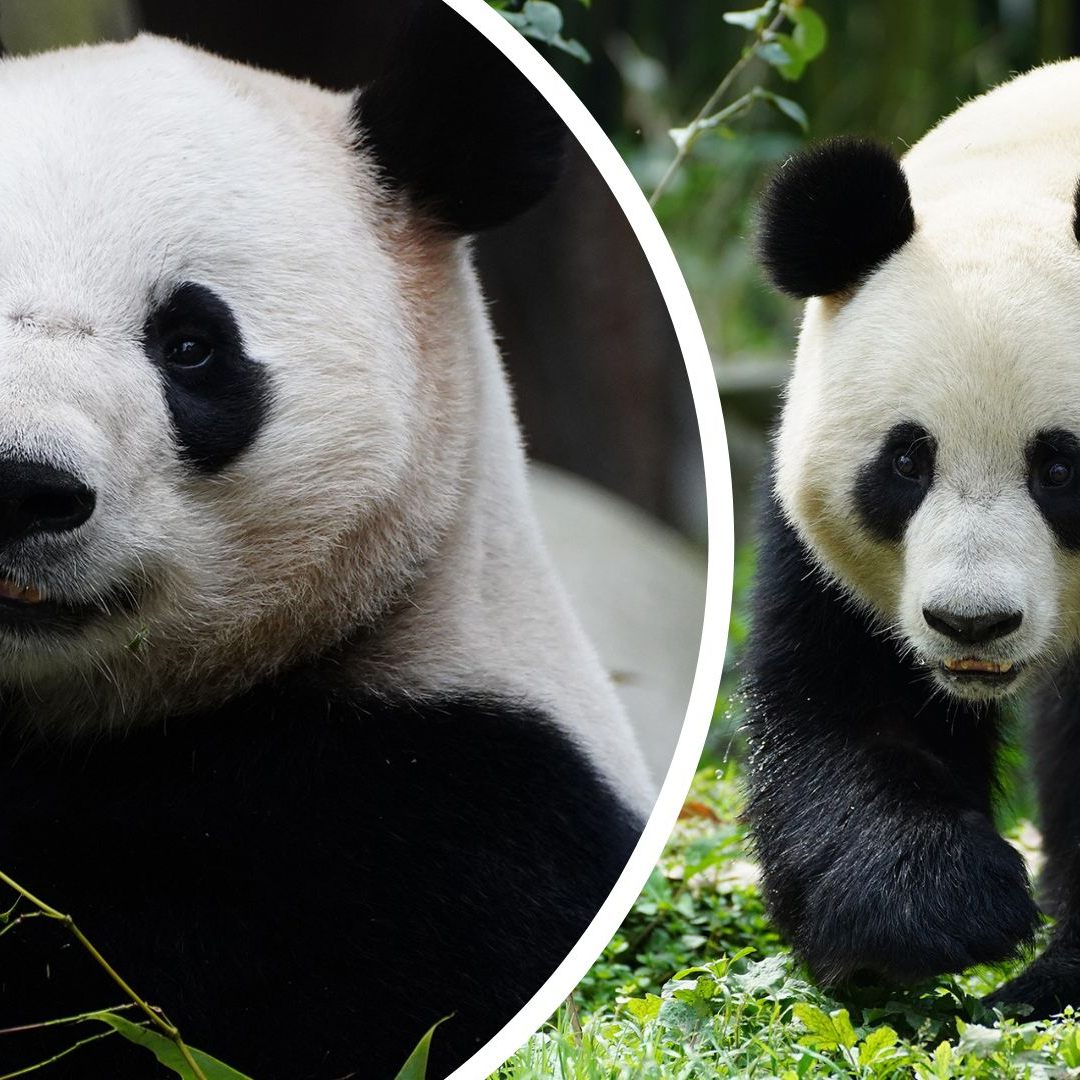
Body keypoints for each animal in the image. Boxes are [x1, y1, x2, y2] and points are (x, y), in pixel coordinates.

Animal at [745, 60, 1080, 1016]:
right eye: (907, 460)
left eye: (1060, 467)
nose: (973, 624)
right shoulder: (835, 556)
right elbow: (849, 707)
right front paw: (942, 905)